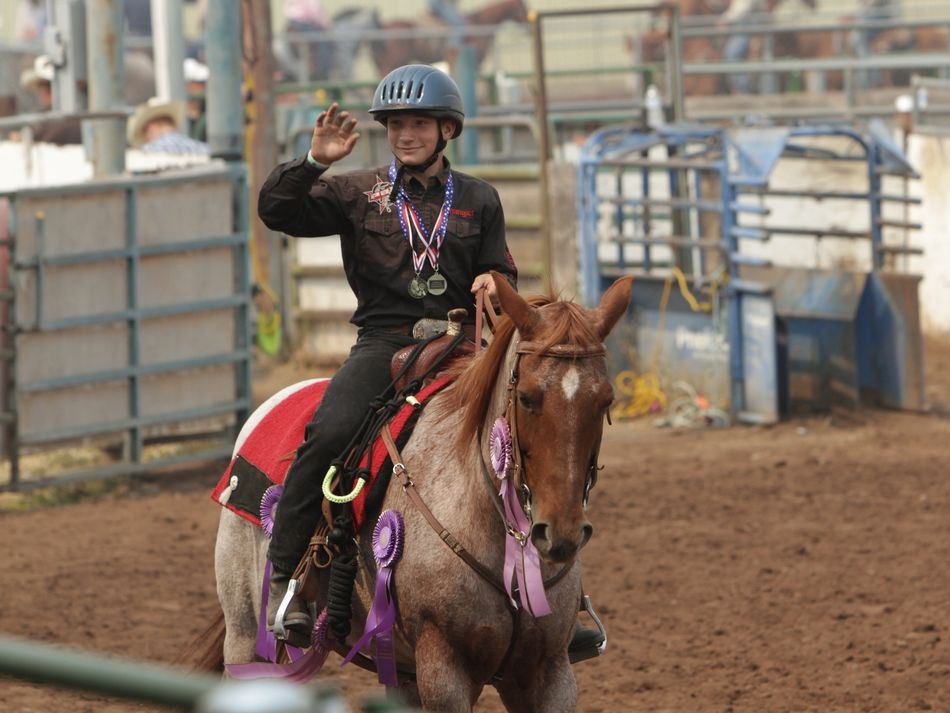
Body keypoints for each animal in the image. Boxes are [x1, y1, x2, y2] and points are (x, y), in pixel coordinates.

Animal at [204, 272, 632, 711]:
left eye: (606, 400)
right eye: (528, 398)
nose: (561, 533)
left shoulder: (549, 674)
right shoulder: (444, 670)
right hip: (245, 636)